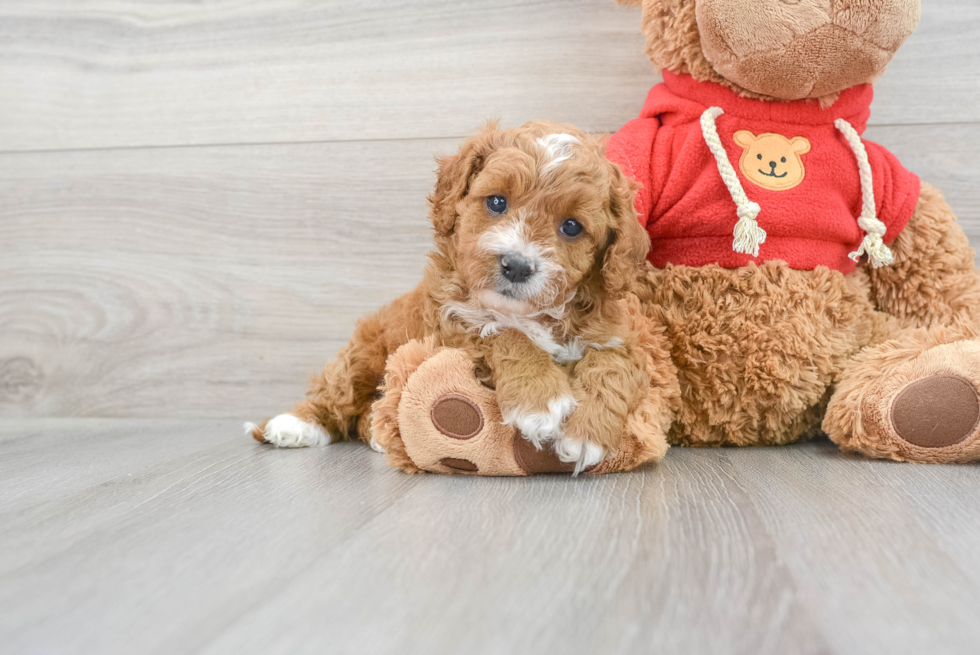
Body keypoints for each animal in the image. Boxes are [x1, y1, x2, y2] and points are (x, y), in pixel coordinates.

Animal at [249, 121, 656, 472]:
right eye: (496, 202)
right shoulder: (453, 326)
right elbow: (507, 334)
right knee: (337, 392)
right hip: (364, 352)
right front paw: (540, 400)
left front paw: (588, 434)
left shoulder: (618, 337)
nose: (516, 265)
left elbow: (612, 367)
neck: (527, 312)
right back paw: (295, 424)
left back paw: (381, 431)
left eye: (572, 226)